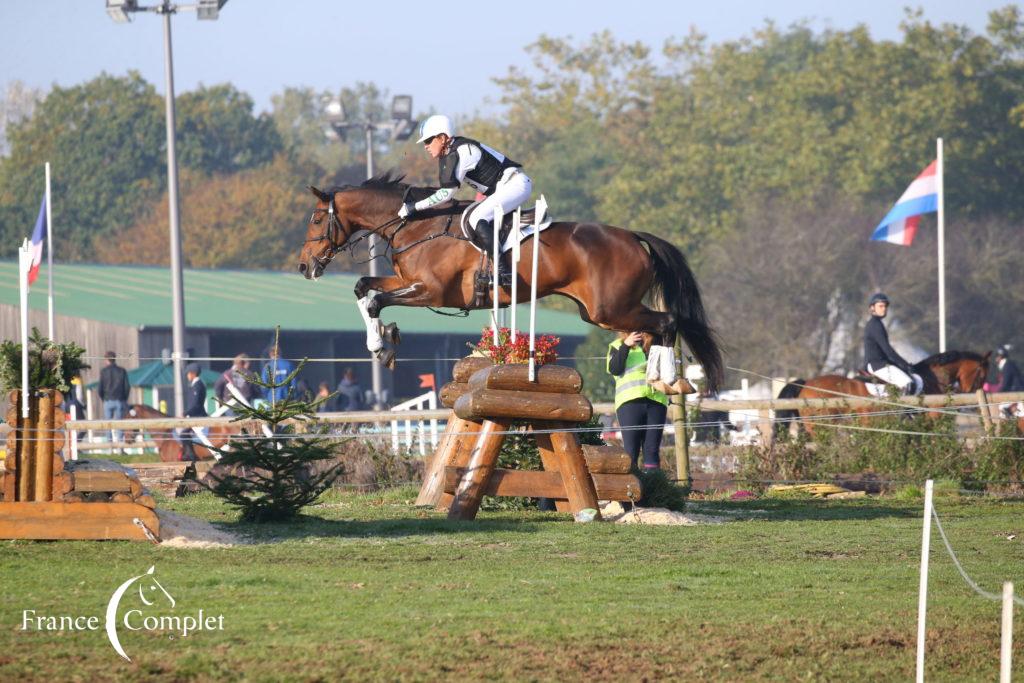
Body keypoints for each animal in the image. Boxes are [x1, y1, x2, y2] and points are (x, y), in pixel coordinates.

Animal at [296, 171, 724, 393]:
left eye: (316, 220)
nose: (304, 267)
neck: (416, 225)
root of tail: (633, 236)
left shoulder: (430, 290)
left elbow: (374, 300)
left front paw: (380, 343)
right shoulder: (406, 281)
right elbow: (363, 288)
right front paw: (384, 341)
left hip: (611, 307)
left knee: (667, 322)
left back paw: (665, 376)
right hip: (601, 312)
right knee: (654, 329)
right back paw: (656, 376)